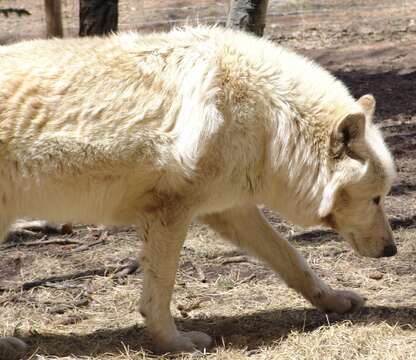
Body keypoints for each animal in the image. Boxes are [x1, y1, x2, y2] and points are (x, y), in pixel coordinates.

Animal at [0, 26, 396, 352]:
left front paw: (334, 301)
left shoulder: (229, 209)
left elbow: (292, 258)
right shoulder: (171, 212)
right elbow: (160, 291)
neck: (271, 121)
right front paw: (174, 343)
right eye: (376, 198)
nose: (392, 250)